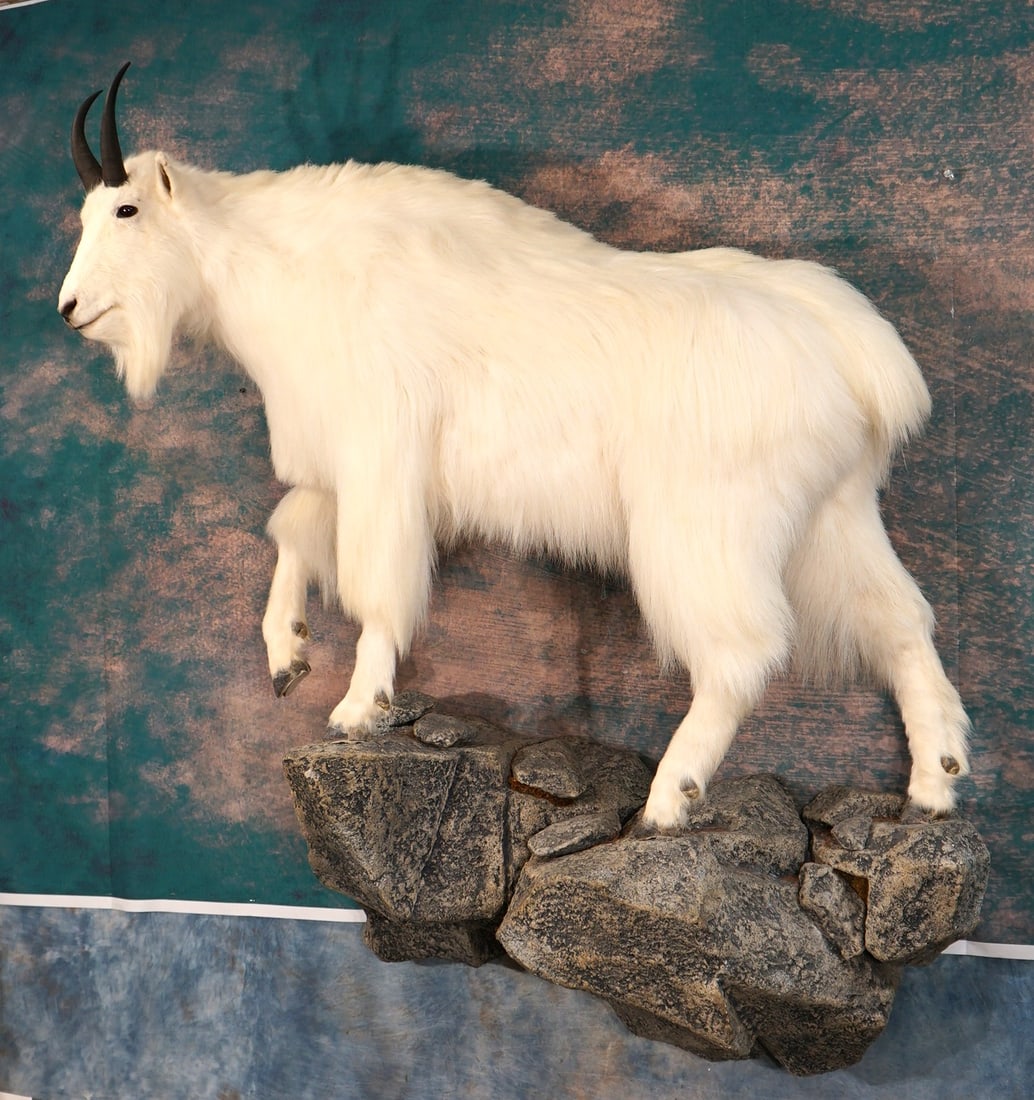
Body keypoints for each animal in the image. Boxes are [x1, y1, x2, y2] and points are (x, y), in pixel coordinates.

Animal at [59, 64, 970, 828]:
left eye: (126, 210)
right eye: (84, 216)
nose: (70, 308)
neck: (285, 272)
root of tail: (860, 359)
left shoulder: (382, 463)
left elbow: (373, 586)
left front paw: (357, 707)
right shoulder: (339, 471)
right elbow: (293, 533)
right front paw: (287, 653)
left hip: (706, 529)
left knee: (741, 655)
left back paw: (669, 798)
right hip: (833, 518)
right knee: (900, 622)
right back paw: (936, 781)